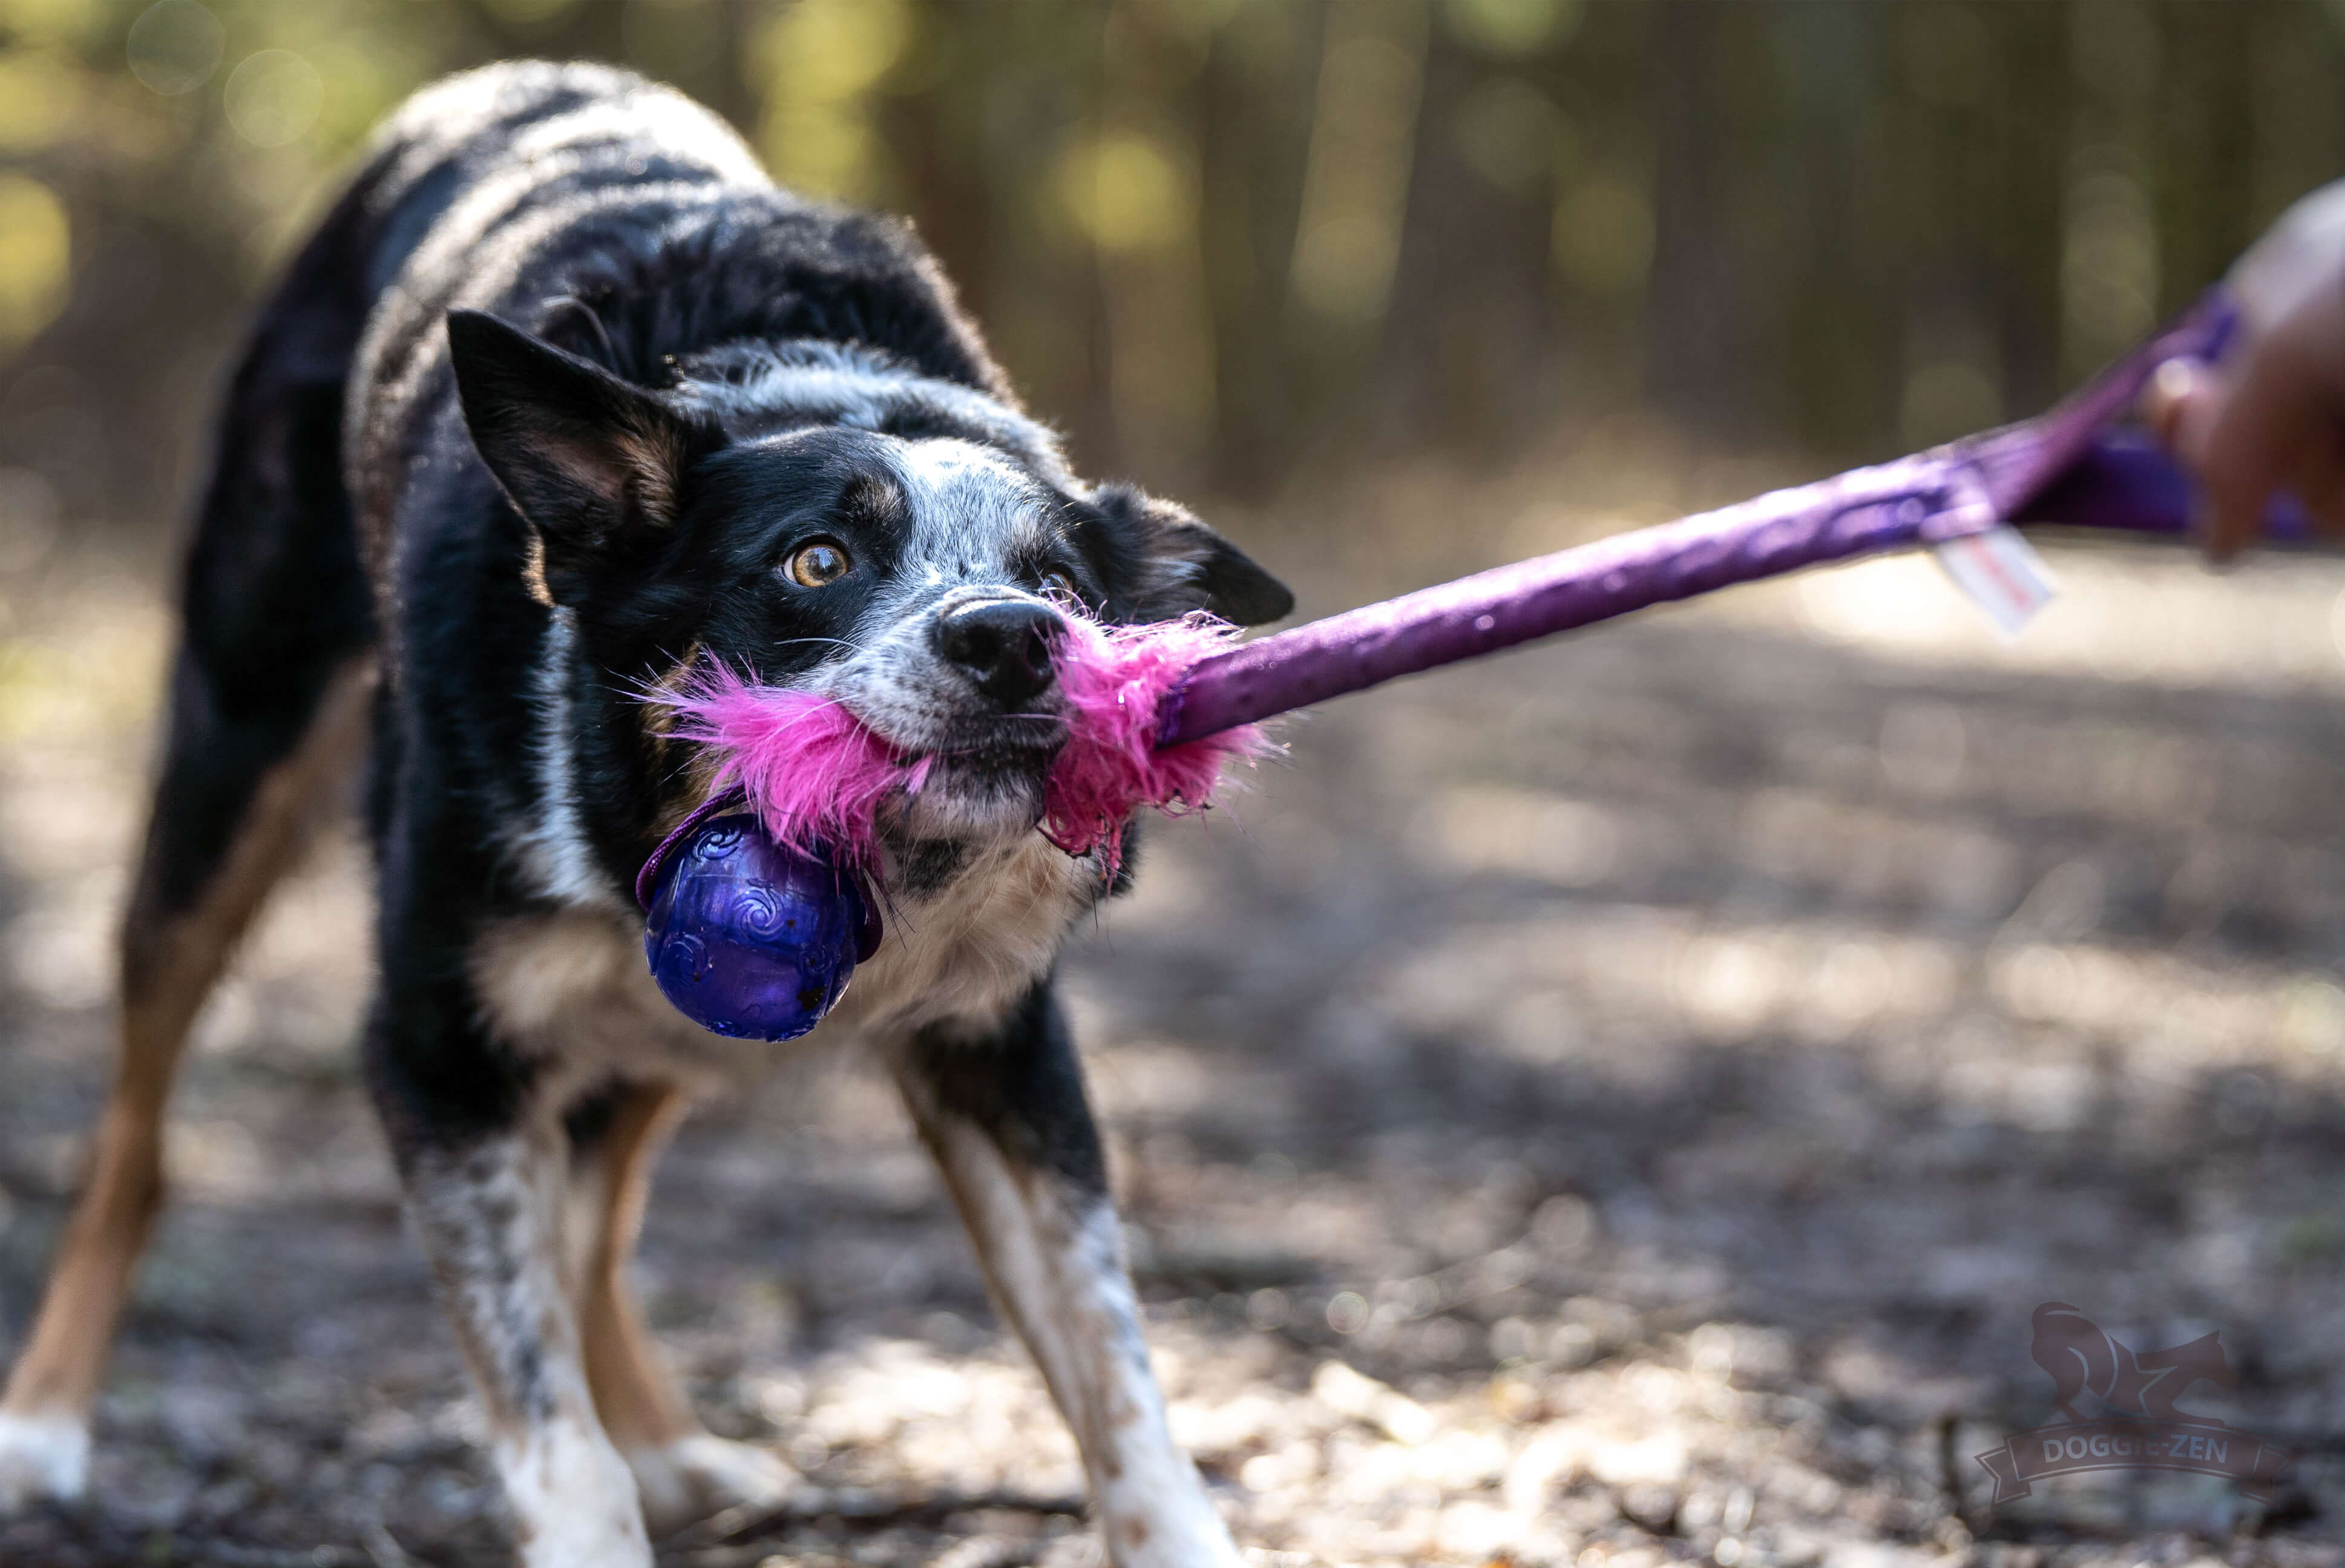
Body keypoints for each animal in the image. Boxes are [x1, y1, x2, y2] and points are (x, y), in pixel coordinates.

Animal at [0, 64, 1285, 1566]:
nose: (1013, 637)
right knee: (138, 1137)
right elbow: (545, 1414)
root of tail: (504, 79)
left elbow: (1114, 1370)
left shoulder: (999, 1048)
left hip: (661, 1014)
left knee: (593, 1221)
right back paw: (42, 1424)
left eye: (1067, 587)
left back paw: (672, 1446)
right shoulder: (436, 1052)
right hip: (232, 759)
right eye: (816, 560)